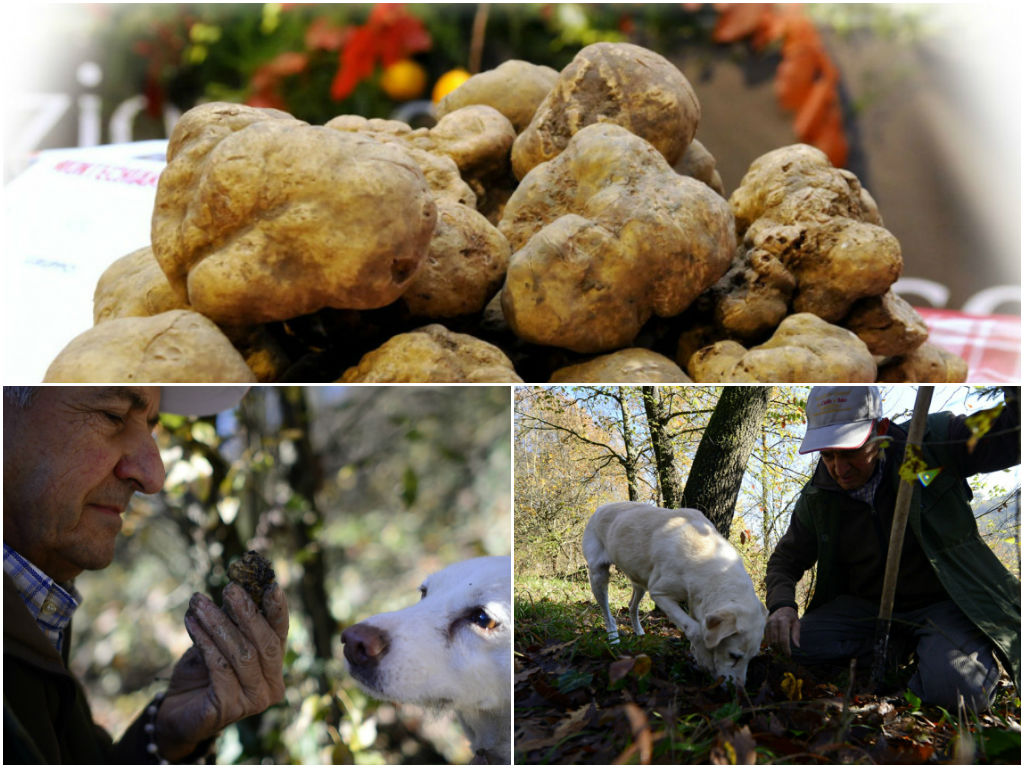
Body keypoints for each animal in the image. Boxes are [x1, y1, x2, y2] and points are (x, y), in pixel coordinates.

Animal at [585, 505, 770, 684]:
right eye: (734, 656)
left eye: (752, 658)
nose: (738, 689)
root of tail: (600, 509)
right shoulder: (660, 594)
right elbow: (695, 630)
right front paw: (705, 659)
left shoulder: (696, 603)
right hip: (598, 576)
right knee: (607, 613)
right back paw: (613, 639)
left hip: (640, 582)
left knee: (631, 606)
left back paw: (639, 632)